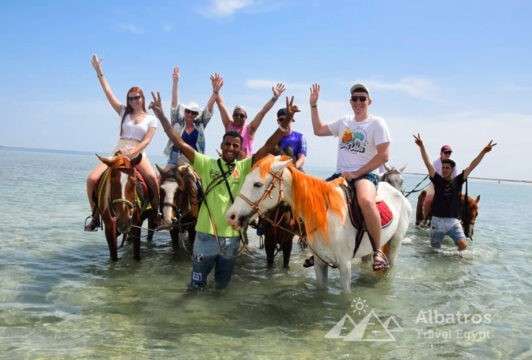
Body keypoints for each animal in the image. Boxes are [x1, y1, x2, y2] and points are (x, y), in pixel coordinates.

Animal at [224, 154, 412, 290]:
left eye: (257, 184)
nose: (231, 216)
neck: (327, 218)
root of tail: (398, 193)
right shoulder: (320, 264)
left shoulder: (345, 265)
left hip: (395, 243)